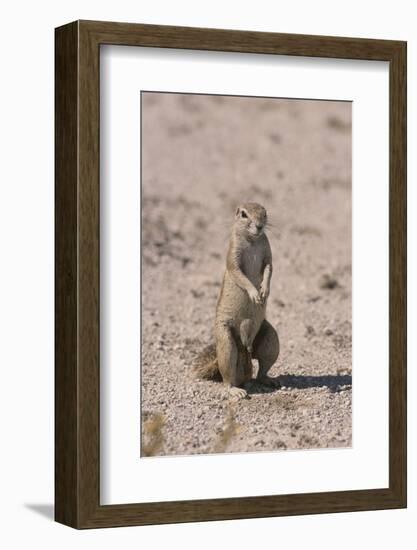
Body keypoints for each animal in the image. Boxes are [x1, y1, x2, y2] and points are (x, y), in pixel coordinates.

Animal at [195, 203, 280, 402]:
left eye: (265, 213)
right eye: (243, 214)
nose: (259, 226)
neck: (252, 240)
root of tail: (245, 349)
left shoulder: (267, 252)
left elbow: (269, 268)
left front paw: (265, 290)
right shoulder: (233, 255)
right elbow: (238, 274)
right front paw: (255, 293)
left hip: (271, 340)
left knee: (261, 369)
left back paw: (268, 380)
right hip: (226, 344)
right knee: (227, 377)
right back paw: (236, 390)